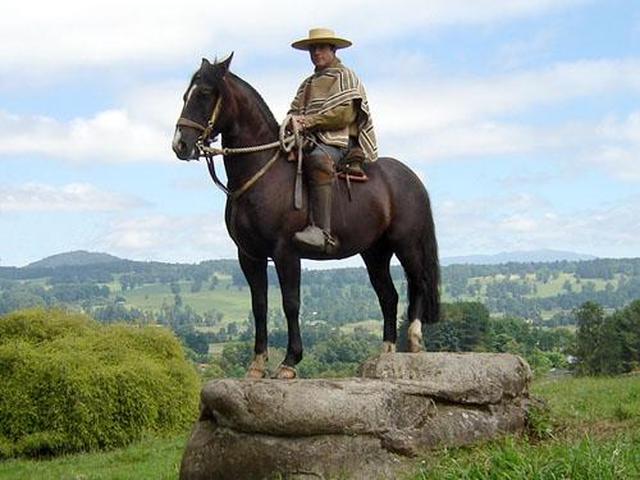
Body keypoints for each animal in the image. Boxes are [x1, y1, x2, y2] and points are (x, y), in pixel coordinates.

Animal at [172, 55, 440, 379]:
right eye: (186, 95)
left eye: (205, 93)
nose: (180, 144)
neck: (262, 173)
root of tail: (412, 179)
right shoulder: (249, 256)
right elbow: (259, 305)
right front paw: (257, 365)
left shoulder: (286, 252)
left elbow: (291, 303)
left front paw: (289, 362)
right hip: (374, 252)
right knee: (388, 296)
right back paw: (386, 352)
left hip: (406, 244)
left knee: (418, 283)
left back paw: (413, 340)